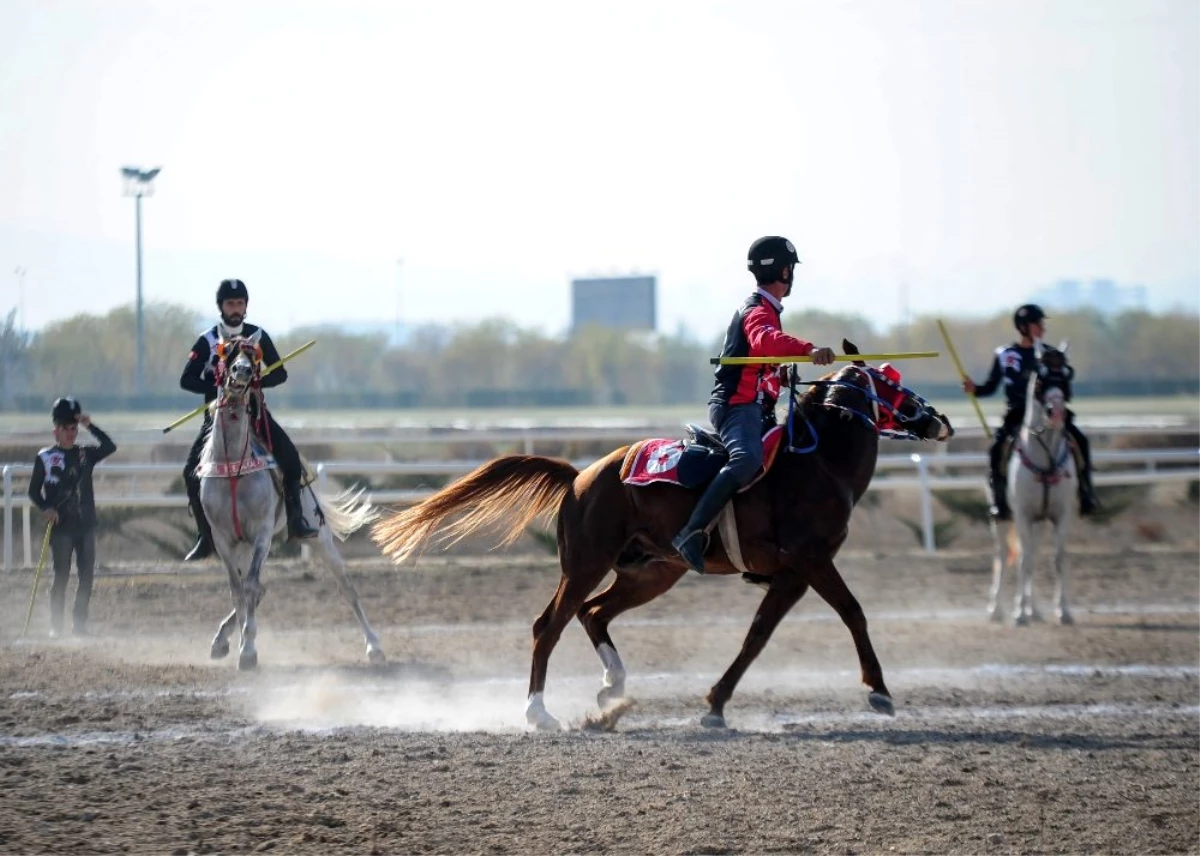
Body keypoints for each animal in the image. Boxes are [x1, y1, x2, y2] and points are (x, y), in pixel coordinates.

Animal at [196, 331, 384, 672]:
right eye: (228, 352)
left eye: (254, 356)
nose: (242, 372)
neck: (233, 465)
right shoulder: (223, 539)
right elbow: (237, 590)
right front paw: (239, 642)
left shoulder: (261, 533)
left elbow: (250, 586)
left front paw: (248, 650)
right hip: (243, 546)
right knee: (254, 589)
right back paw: (221, 641)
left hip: (318, 536)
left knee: (346, 586)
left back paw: (374, 646)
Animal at [369, 343, 950, 729]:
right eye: (892, 381)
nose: (939, 419)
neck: (816, 463)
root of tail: (580, 476)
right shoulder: (811, 562)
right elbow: (852, 612)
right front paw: (879, 692)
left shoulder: (792, 575)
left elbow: (757, 636)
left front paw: (715, 704)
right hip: (586, 564)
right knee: (549, 625)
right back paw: (539, 712)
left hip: (651, 572)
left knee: (593, 614)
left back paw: (613, 691)